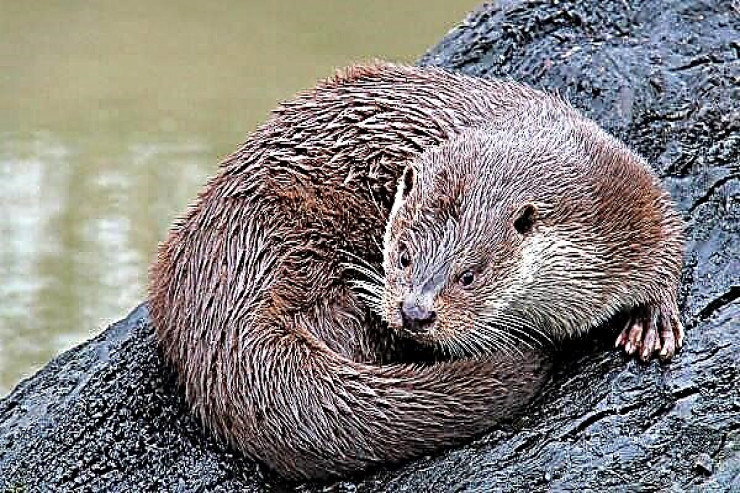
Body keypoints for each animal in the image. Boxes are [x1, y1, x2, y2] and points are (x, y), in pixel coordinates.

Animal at [149, 63, 684, 481]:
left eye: (470, 274)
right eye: (403, 255)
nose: (414, 311)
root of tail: (222, 312)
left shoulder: (625, 193)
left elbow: (670, 240)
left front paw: (653, 319)